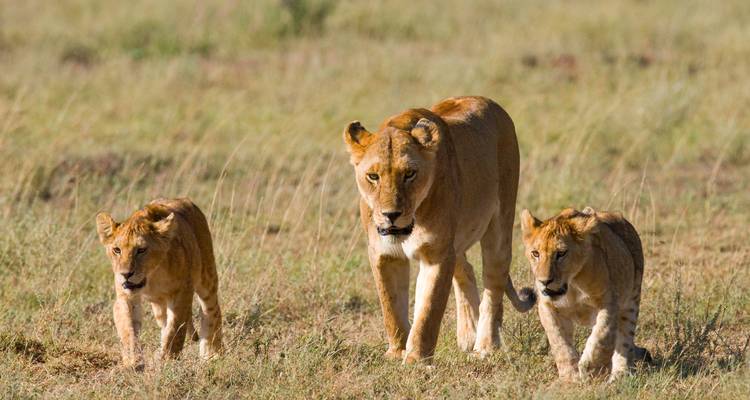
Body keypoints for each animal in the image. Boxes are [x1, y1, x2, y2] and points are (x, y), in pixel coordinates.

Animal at [95, 198, 222, 368]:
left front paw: (167, 359)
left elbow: (175, 330)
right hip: (159, 307)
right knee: (164, 321)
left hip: (207, 277)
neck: (152, 276)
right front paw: (132, 361)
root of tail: (184, 199)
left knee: (212, 311)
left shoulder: (182, 293)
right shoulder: (125, 296)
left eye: (141, 250)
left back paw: (212, 354)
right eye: (117, 250)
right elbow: (128, 329)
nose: (126, 274)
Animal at [343, 96, 534, 363]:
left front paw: (416, 360)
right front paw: (396, 353)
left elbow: (428, 311)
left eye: (409, 174)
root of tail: (487, 101)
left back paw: (485, 345)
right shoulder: (384, 254)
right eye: (373, 176)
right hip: (456, 240)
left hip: (500, 225)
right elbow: (391, 307)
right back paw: (468, 334)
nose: (391, 215)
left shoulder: (436, 253)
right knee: (466, 269)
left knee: (493, 285)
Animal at [519, 207, 649, 382]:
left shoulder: (608, 302)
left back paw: (620, 374)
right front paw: (570, 377)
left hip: (631, 300)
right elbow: (559, 342)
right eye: (535, 253)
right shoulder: (547, 306)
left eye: (561, 253)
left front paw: (591, 368)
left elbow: (602, 335)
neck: (572, 286)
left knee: (624, 339)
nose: (544, 281)